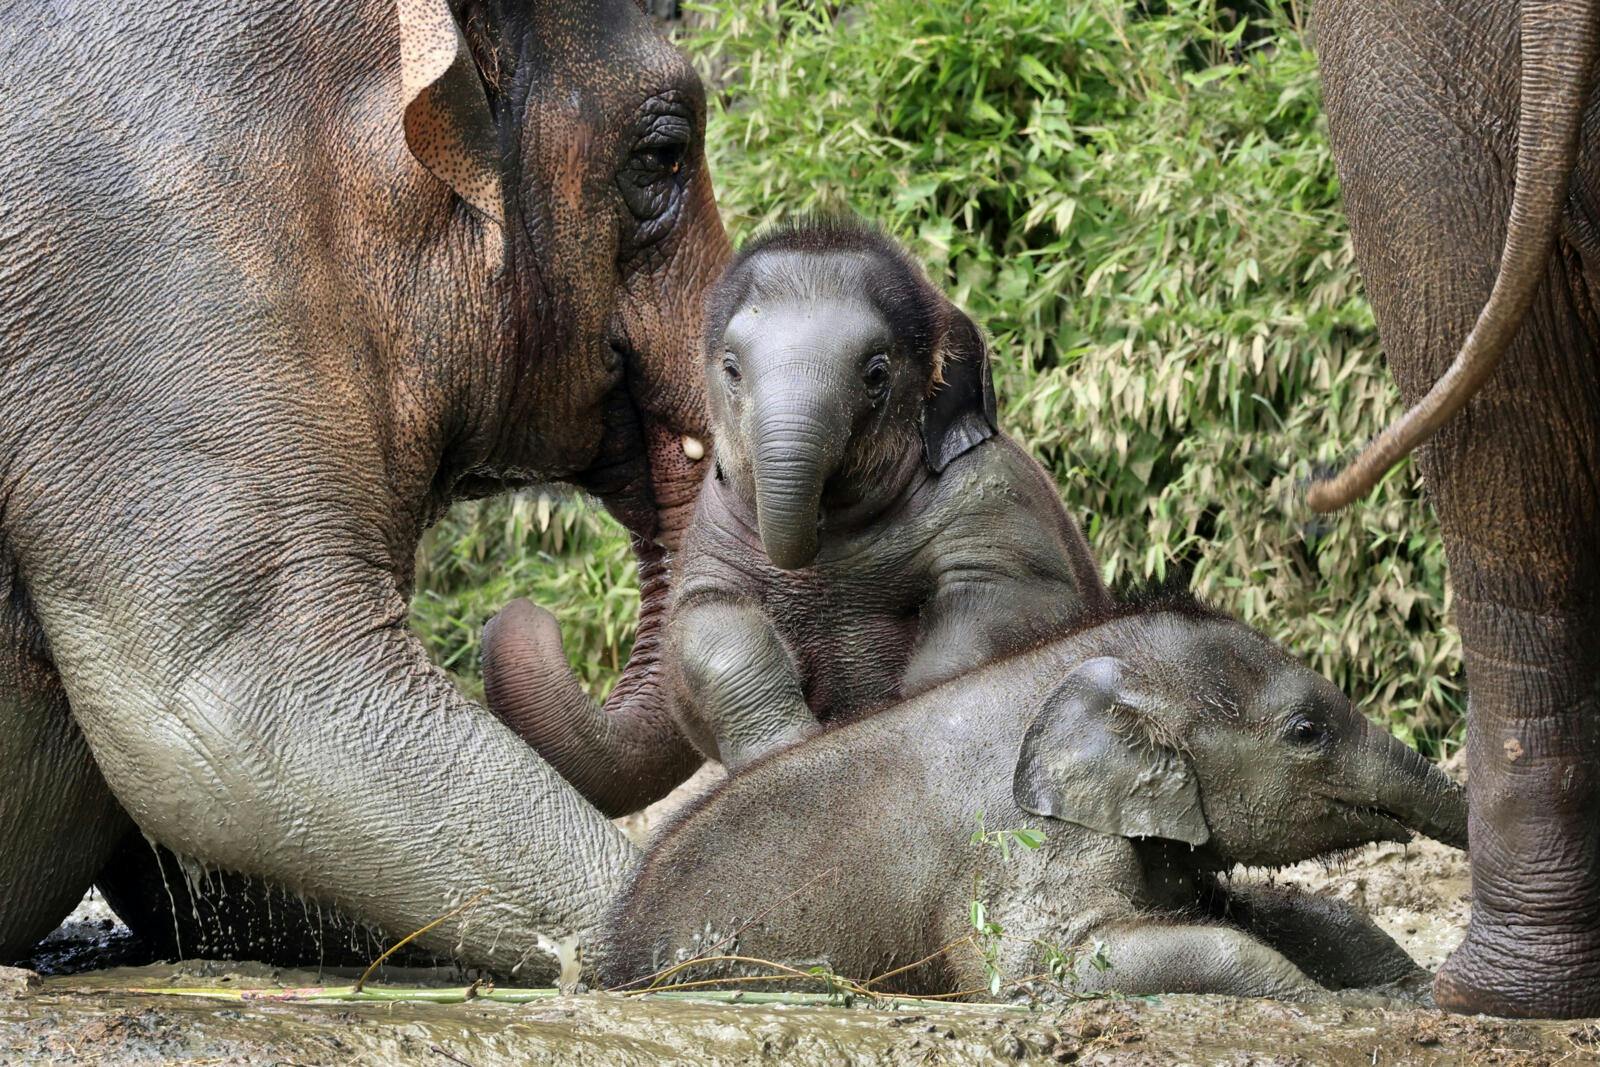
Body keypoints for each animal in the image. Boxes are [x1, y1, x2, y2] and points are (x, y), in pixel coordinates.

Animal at [481, 221, 1111, 815]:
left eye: (877, 373)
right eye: (731, 369)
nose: (519, 609)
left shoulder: (992, 493)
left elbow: (1009, 597)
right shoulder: (714, 529)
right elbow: (705, 622)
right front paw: (785, 752)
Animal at [598, 592, 1468, 1000]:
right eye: (1306, 731)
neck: (1080, 664)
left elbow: (1259, 911)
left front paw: (1402, 991)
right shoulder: (1025, 851)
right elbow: (1038, 967)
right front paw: (1335, 1005)